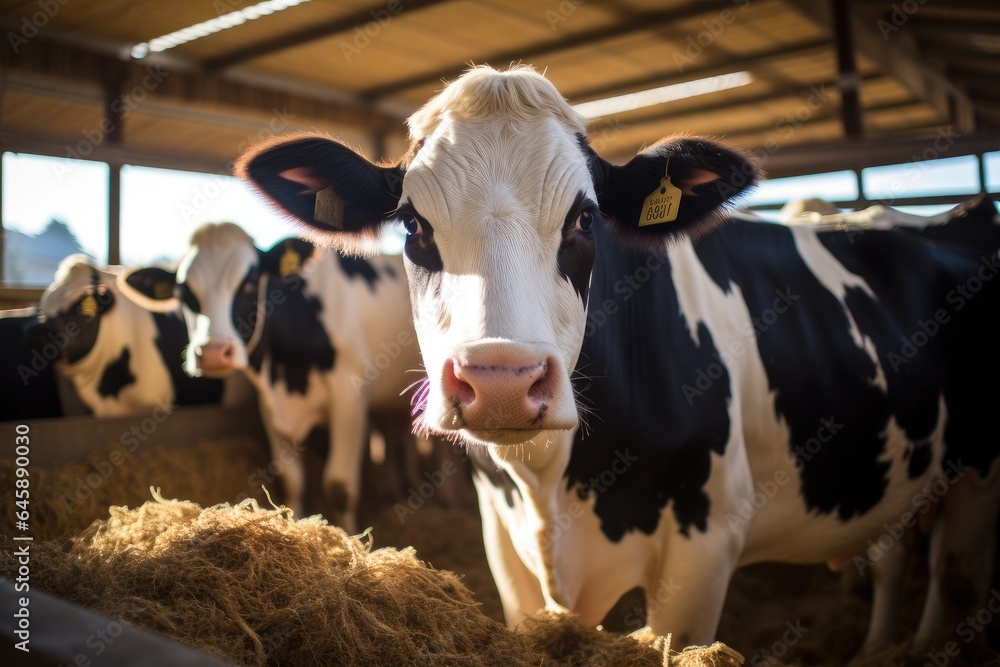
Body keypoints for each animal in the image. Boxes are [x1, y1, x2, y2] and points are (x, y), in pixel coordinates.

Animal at [123, 224, 420, 532]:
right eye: (183, 293)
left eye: (250, 283)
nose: (213, 353)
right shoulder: (270, 405)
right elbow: (292, 480)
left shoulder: (349, 398)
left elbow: (340, 487)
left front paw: (350, 538)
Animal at [232, 65, 1000, 660]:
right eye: (413, 225)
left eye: (584, 217)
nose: (500, 382)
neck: (551, 484)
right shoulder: (505, 548)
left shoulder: (704, 548)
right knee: (899, 552)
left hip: (978, 474)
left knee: (955, 572)